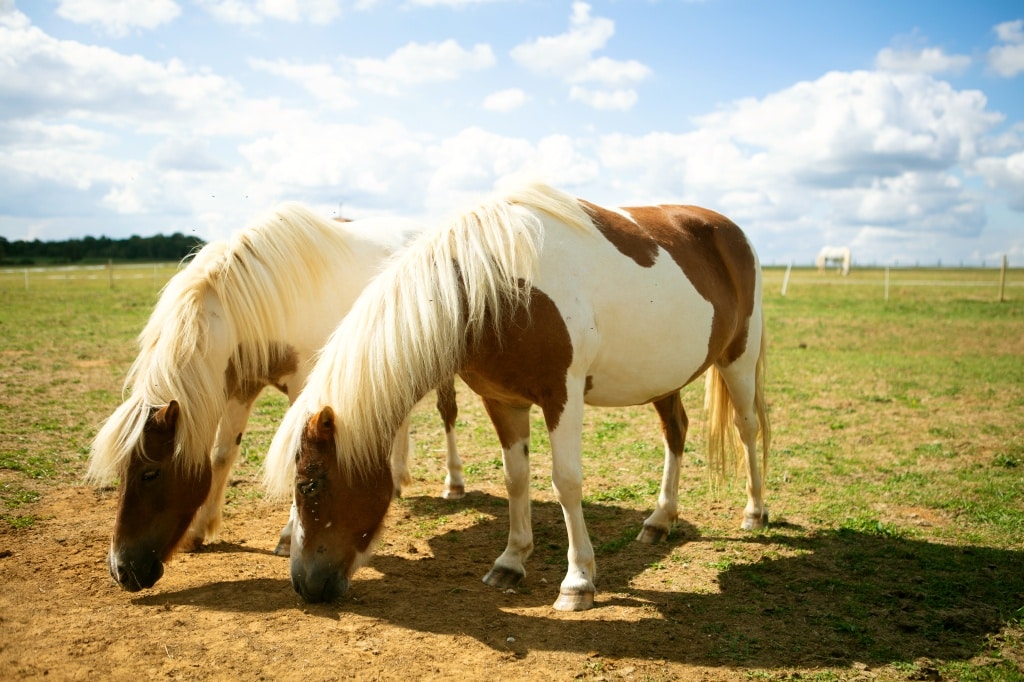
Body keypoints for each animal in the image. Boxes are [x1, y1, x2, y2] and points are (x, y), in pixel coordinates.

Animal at [86, 201, 466, 589]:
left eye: (150, 473)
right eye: (121, 471)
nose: (121, 570)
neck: (261, 300)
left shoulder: (306, 390)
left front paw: (286, 538)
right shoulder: (241, 385)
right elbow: (222, 454)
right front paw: (199, 529)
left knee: (446, 412)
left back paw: (453, 483)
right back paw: (399, 476)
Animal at [264, 182, 770, 610]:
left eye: (309, 484)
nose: (304, 584)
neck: (495, 287)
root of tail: (730, 230)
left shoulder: (562, 394)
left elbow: (565, 482)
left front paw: (577, 582)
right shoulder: (502, 400)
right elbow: (516, 479)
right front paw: (510, 561)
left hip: (739, 360)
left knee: (746, 428)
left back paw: (755, 513)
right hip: (663, 376)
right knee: (676, 431)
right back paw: (660, 519)